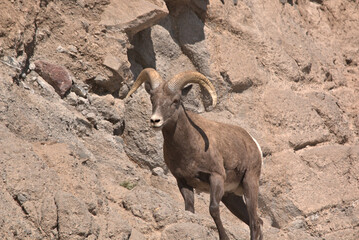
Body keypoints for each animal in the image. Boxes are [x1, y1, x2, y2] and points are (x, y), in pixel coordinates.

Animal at [126, 68, 264, 239]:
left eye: (176, 100)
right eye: (152, 98)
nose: (155, 121)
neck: (189, 147)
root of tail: (253, 143)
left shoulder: (216, 177)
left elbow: (213, 209)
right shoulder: (183, 181)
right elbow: (190, 210)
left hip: (250, 183)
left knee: (254, 222)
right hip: (231, 197)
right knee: (257, 221)